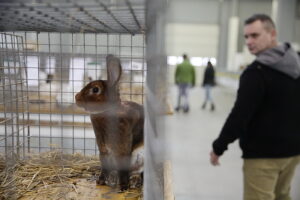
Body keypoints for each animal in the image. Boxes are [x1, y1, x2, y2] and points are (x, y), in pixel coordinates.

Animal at [76, 55, 144, 190]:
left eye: (95, 89)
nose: (76, 97)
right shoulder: (104, 152)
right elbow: (105, 168)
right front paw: (100, 181)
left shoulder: (123, 151)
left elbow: (123, 169)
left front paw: (123, 186)